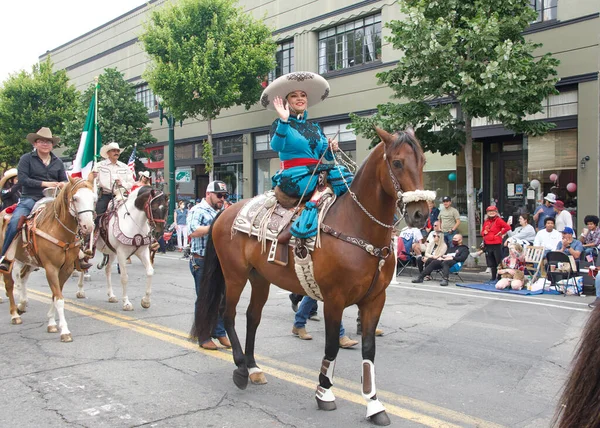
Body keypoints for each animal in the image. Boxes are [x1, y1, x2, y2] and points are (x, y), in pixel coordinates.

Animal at [0, 175, 96, 342]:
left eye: (93, 198)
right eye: (75, 198)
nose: (88, 226)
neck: (59, 230)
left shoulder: (66, 269)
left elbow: (54, 296)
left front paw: (51, 323)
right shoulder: (51, 268)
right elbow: (59, 298)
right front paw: (64, 331)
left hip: (29, 261)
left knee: (22, 277)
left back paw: (22, 305)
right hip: (9, 260)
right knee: (9, 284)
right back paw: (14, 314)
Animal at [192, 127, 432, 424]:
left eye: (423, 161)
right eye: (397, 163)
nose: (421, 213)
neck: (357, 226)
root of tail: (226, 211)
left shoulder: (375, 300)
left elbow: (369, 350)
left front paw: (374, 404)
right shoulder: (334, 300)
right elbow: (331, 346)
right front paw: (324, 392)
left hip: (260, 278)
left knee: (252, 317)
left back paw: (254, 367)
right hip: (234, 275)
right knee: (228, 314)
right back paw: (240, 368)